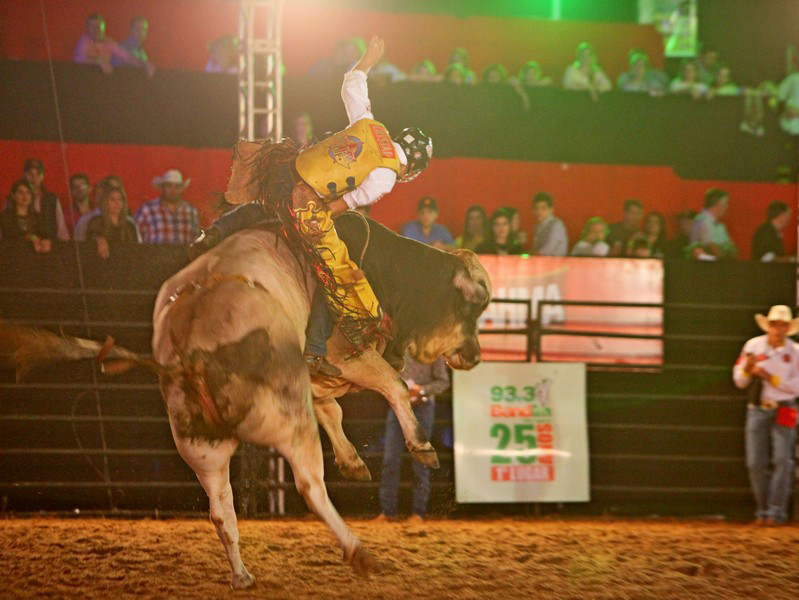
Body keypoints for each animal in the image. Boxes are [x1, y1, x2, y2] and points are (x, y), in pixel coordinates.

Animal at [0, 210, 494, 584]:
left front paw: (353, 461)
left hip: (202, 447)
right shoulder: (348, 356)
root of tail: (188, 349)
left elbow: (333, 409)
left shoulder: (314, 376)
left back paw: (242, 575)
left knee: (221, 511)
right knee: (309, 485)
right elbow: (391, 386)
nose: (474, 356)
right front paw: (421, 447)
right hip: (286, 422)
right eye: (472, 306)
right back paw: (359, 552)